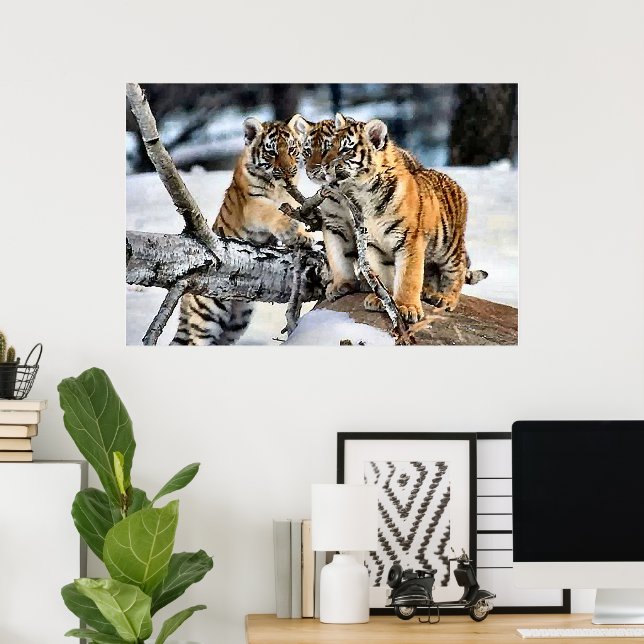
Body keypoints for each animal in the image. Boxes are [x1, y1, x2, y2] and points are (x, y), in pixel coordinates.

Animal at [171, 115, 312, 346]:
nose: (288, 172)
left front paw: (302, 236)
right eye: (272, 152)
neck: (278, 188)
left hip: (236, 322)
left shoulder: (292, 200)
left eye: (292, 150)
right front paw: (290, 228)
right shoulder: (252, 204)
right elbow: (271, 211)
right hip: (206, 316)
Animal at [319, 113, 474, 323]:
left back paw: (445, 299)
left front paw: (407, 307)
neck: (363, 192)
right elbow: (383, 276)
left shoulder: (410, 242)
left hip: (448, 247)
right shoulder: (372, 244)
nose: (324, 166)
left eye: (345, 150)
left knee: (457, 270)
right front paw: (381, 300)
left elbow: (408, 277)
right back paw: (428, 292)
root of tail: (454, 182)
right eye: (330, 146)